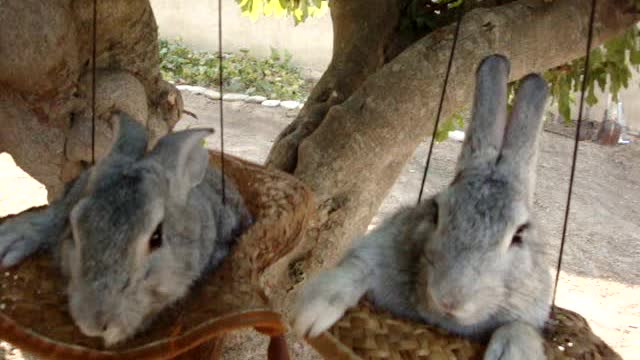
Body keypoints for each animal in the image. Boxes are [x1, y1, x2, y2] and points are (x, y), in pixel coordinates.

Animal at [296, 54, 552, 358]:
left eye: (520, 234)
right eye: (436, 211)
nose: (450, 299)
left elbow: (520, 328)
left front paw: (511, 352)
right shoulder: (376, 249)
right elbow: (356, 270)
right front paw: (310, 314)